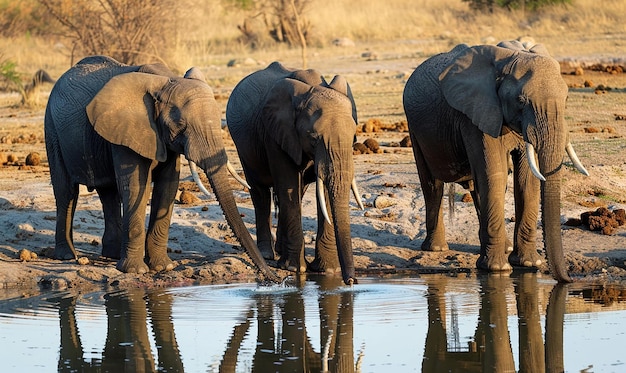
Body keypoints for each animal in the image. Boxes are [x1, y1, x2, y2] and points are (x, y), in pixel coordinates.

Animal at [43, 53, 278, 278]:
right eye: (181, 125)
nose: (274, 278)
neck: (164, 81)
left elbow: (168, 185)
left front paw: (163, 267)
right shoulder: (129, 130)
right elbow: (137, 185)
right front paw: (135, 271)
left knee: (108, 194)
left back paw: (112, 255)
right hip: (51, 129)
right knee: (66, 192)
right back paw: (67, 256)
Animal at [224, 61, 360, 284]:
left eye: (353, 137)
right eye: (313, 138)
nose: (352, 282)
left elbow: (322, 192)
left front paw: (328, 271)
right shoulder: (276, 134)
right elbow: (288, 186)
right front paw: (295, 269)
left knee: (296, 191)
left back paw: (280, 250)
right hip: (244, 147)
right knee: (260, 193)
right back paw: (268, 254)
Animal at [402, 40, 588, 282]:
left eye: (566, 99)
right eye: (521, 101)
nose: (569, 280)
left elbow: (526, 179)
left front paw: (529, 263)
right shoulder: (475, 116)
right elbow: (495, 173)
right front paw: (498, 270)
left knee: (477, 187)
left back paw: (505, 247)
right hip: (414, 128)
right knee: (432, 184)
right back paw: (436, 249)